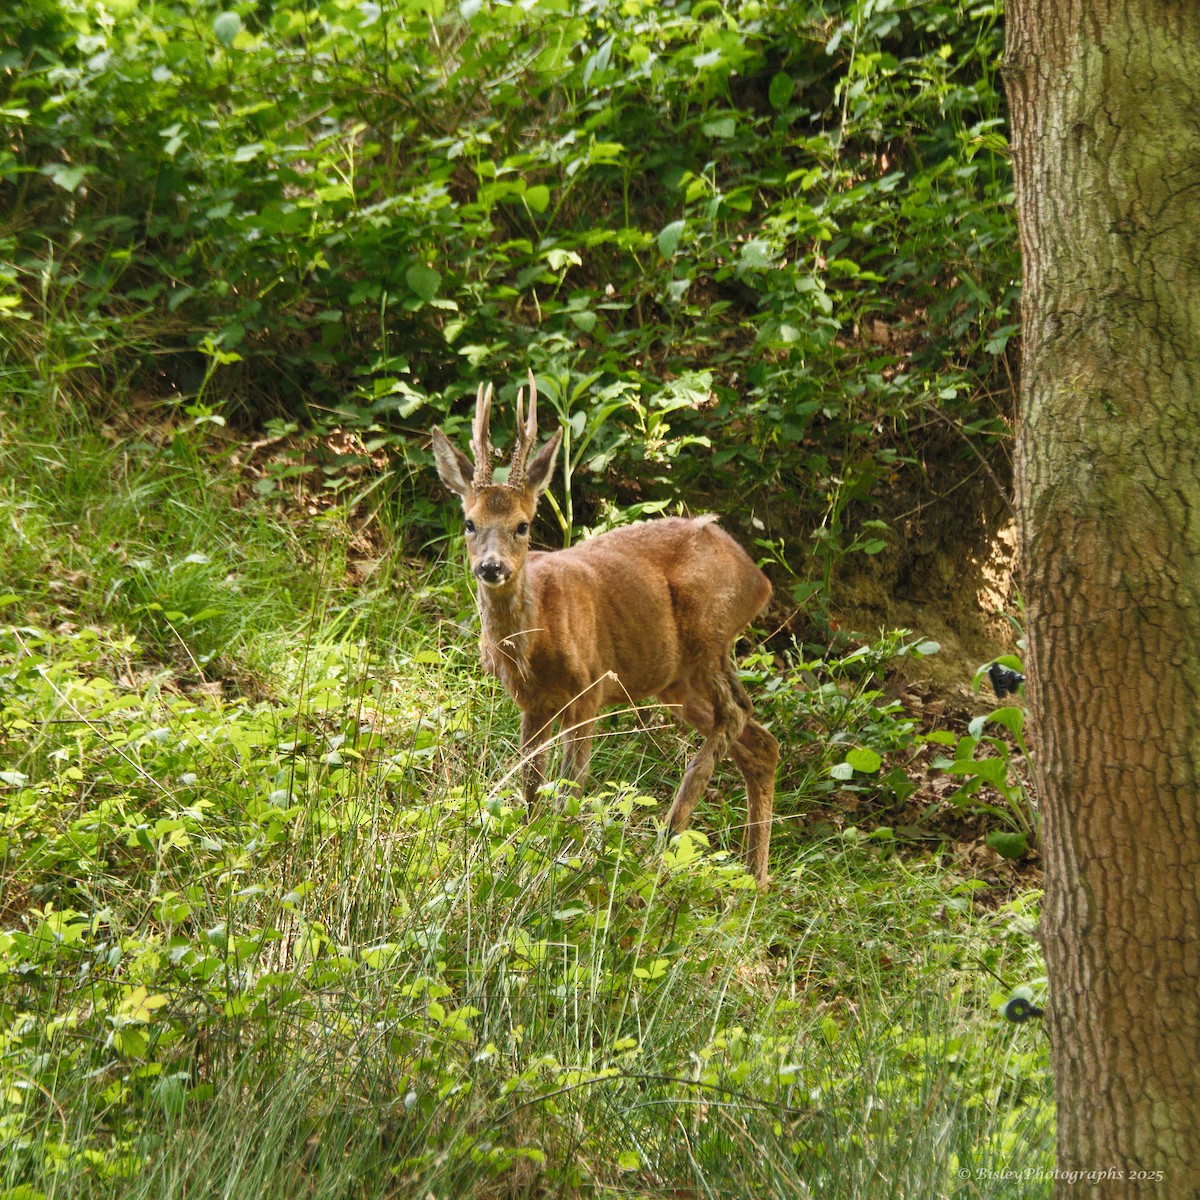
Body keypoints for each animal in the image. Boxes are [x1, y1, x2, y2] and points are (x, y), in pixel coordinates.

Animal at [430, 372, 779, 888]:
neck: (535, 640)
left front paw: (556, 861)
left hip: (709, 633)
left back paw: (668, 840)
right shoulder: (532, 704)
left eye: (523, 525)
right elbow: (530, 788)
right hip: (675, 679)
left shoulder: (590, 690)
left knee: (736, 714)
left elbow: (569, 790)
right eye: (469, 523)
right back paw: (754, 879)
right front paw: (524, 854)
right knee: (760, 740)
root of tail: (760, 579)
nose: (491, 568)